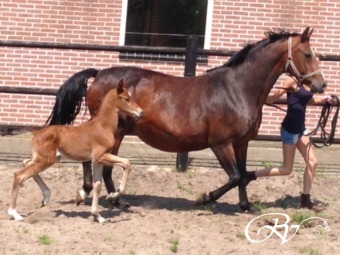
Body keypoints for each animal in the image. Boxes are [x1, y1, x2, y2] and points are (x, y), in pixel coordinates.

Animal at [7, 79, 143, 223]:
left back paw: (46, 197)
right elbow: (127, 163)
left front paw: (98, 216)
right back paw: (15, 213)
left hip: (44, 158)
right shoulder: (100, 156)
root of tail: (37, 132)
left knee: (25, 162)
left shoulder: (97, 161)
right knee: (20, 175)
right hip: (46, 160)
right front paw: (112, 196)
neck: (103, 126)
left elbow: (97, 185)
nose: (140, 112)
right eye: (127, 99)